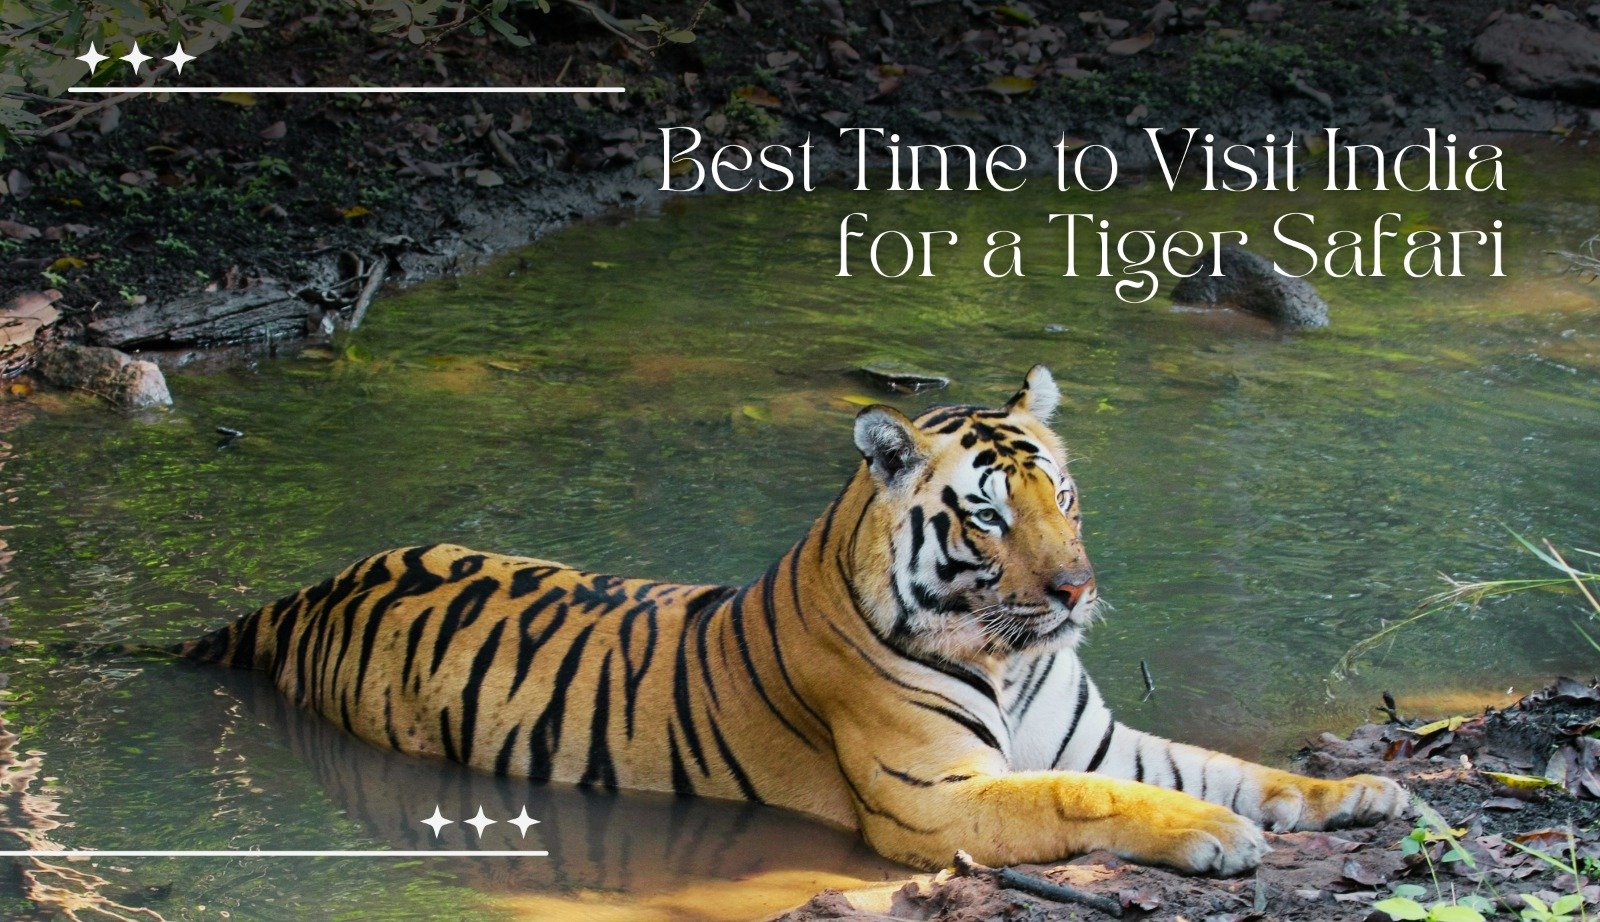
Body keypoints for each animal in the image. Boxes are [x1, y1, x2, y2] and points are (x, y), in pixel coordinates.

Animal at [175, 365, 1405, 873]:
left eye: (1062, 493)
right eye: (989, 515)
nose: (1077, 591)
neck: (1015, 661)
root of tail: (305, 590)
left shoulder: (1100, 735)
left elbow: (1229, 765)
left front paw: (1363, 793)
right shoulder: (934, 799)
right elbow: (1090, 796)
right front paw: (1213, 836)